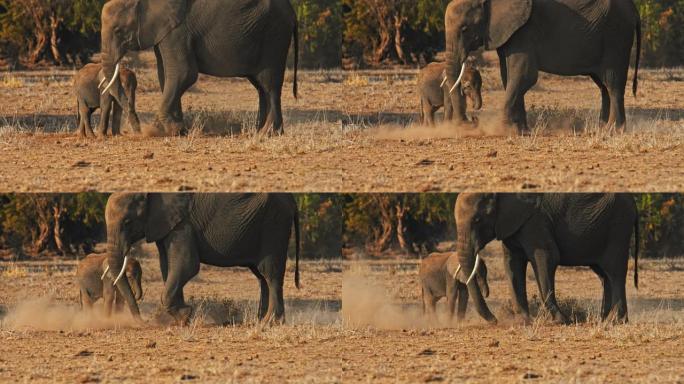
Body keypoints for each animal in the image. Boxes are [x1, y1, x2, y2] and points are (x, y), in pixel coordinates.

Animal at [99, 0, 296, 136]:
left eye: (118, 30)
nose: (137, 130)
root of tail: (292, 11)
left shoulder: (178, 31)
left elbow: (183, 73)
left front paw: (159, 131)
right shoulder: (164, 32)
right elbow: (165, 75)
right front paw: (178, 130)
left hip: (274, 36)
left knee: (270, 85)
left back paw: (268, 132)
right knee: (261, 87)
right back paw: (261, 131)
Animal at [103, 192, 300, 324]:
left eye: (127, 222)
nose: (144, 322)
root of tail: (292, 199)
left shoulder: (183, 224)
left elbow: (187, 265)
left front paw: (185, 316)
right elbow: (167, 267)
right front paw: (182, 319)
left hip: (274, 225)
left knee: (270, 273)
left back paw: (270, 322)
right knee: (261, 276)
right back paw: (259, 320)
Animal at [446, 0, 640, 133]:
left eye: (464, 29)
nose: (470, 119)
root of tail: (634, 9)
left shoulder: (524, 31)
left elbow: (524, 75)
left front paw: (502, 130)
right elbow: (508, 77)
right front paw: (521, 131)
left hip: (616, 37)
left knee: (612, 82)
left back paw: (613, 130)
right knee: (603, 85)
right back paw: (601, 127)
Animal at [452, 195, 640, 324]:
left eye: (477, 220)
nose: (495, 320)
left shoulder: (535, 219)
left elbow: (546, 257)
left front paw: (562, 321)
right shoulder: (512, 223)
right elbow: (513, 264)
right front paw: (525, 321)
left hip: (618, 226)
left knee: (614, 272)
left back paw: (616, 321)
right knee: (604, 275)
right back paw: (604, 319)